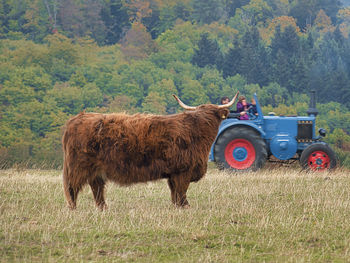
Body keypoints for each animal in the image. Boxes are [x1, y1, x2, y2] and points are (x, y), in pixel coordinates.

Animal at [61, 93, 239, 210]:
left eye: (212, 116)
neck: (195, 133)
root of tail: (76, 119)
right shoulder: (183, 171)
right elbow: (182, 191)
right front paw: (185, 206)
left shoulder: (173, 174)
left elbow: (174, 192)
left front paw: (177, 206)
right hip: (79, 167)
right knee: (72, 188)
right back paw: (73, 208)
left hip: (95, 170)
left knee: (97, 188)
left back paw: (103, 208)